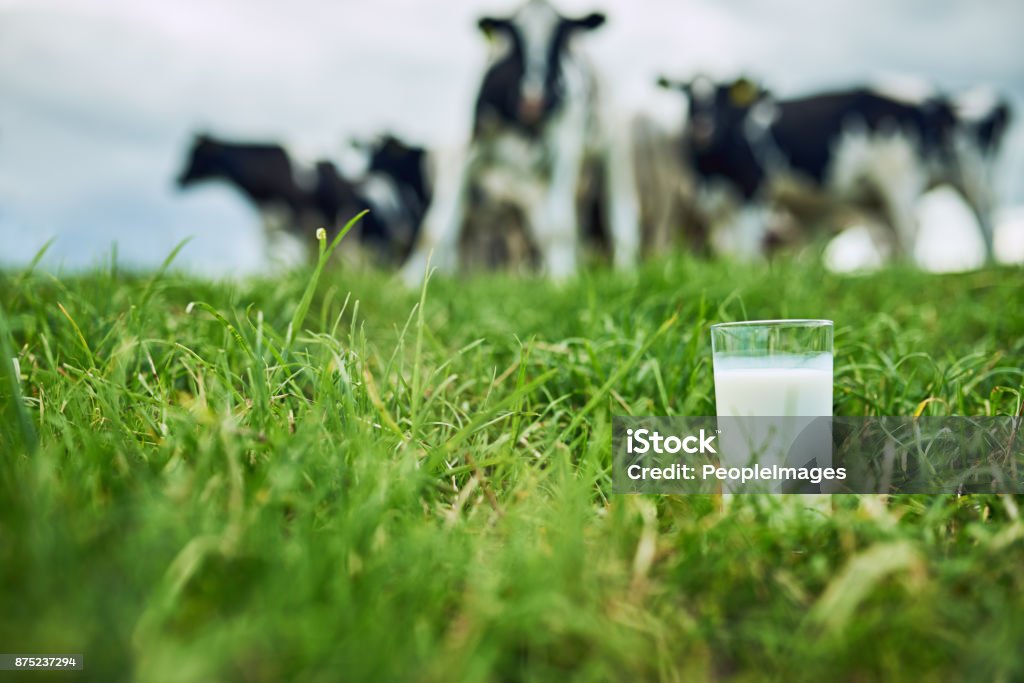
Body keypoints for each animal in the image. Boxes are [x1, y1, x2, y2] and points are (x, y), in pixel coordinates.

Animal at [401, 0, 634, 282]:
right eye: (514, 37)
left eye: (560, 37)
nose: (534, 101)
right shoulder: (467, 150)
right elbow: (435, 227)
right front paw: (408, 281)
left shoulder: (566, 149)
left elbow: (560, 226)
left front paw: (563, 281)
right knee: (543, 227)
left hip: (614, 149)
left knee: (621, 214)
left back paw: (624, 272)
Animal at [655, 76, 1007, 260]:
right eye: (687, 96)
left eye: (720, 96)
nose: (702, 127)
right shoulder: (717, 203)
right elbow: (726, 247)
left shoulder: (752, 191)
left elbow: (745, 249)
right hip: (875, 196)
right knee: (892, 235)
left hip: (918, 177)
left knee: (942, 224)